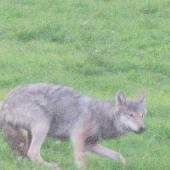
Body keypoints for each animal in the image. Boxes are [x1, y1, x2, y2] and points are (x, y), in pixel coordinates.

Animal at [0, 83, 146, 169]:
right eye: (130, 114)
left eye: (142, 115)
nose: (142, 128)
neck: (101, 115)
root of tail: (5, 100)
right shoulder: (77, 137)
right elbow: (81, 162)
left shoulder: (90, 145)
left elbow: (118, 156)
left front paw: (126, 166)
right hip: (43, 125)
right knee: (33, 153)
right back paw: (53, 166)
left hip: (26, 136)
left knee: (24, 156)